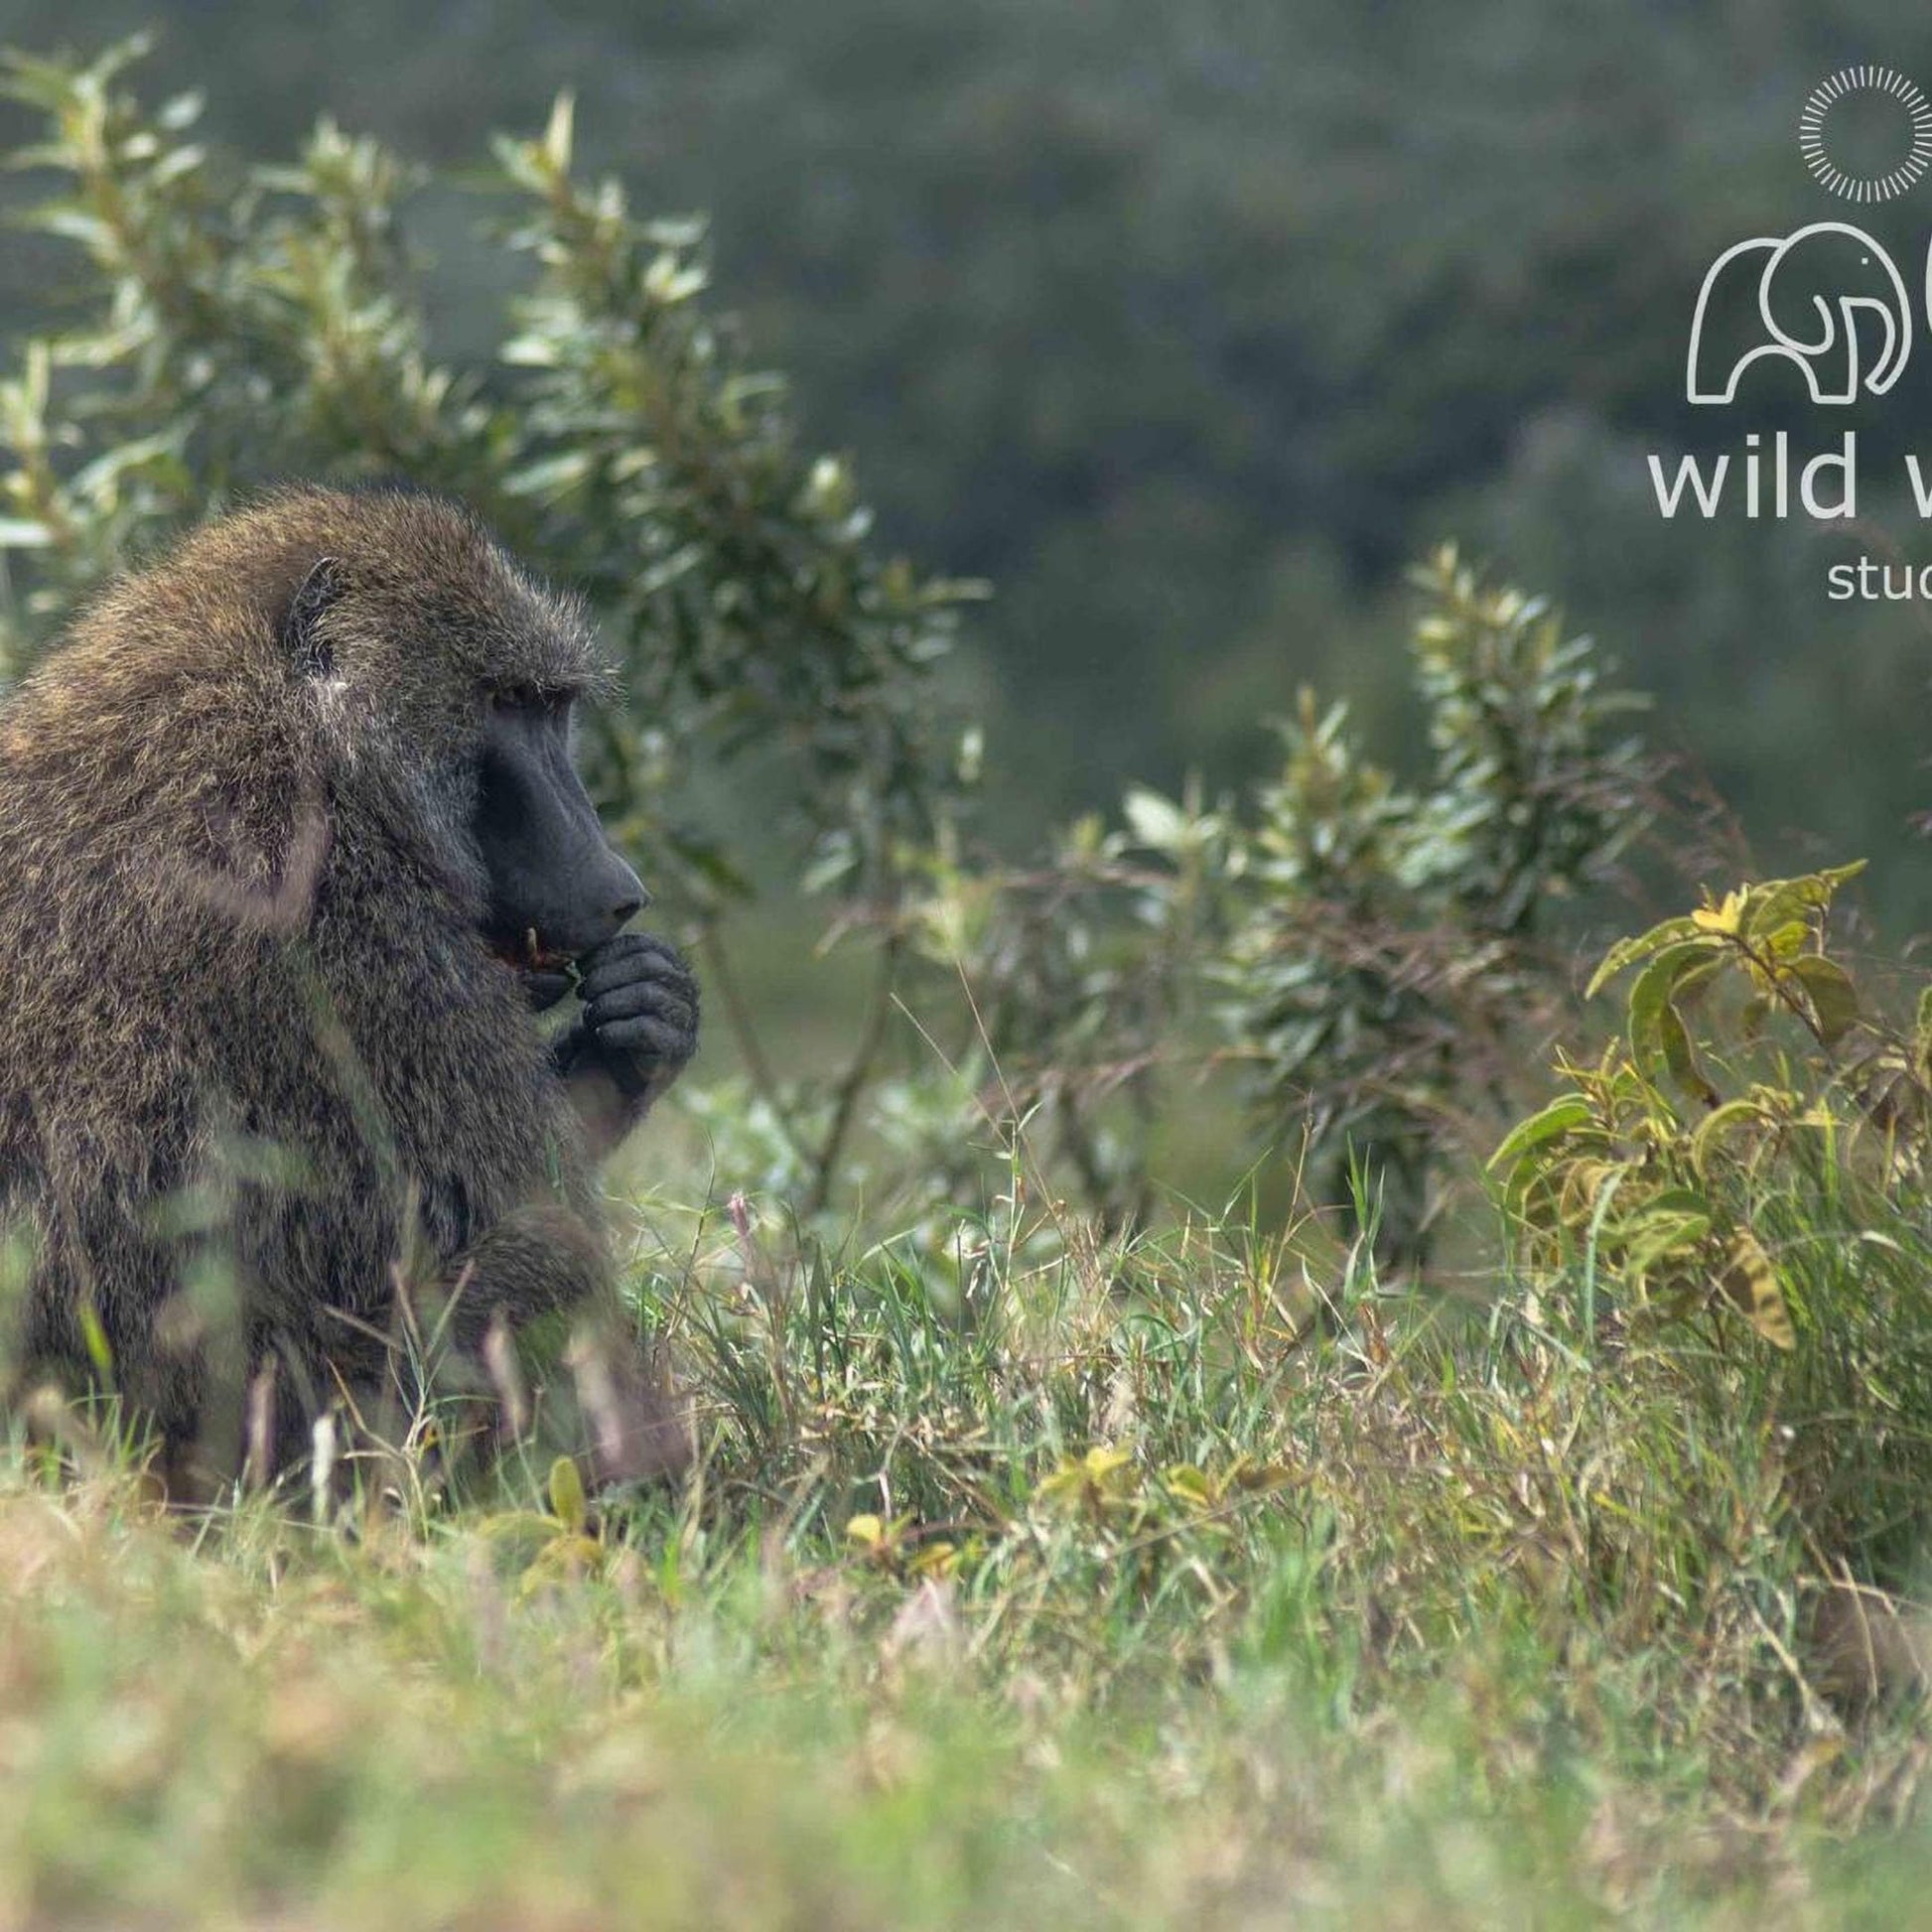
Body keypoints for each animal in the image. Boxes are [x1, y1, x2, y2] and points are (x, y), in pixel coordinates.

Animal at [0, 484, 700, 1492]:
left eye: (551, 707)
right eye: (507, 702)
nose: (619, 890)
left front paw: (643, 1024)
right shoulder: (334, 913)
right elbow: (510, 1206)